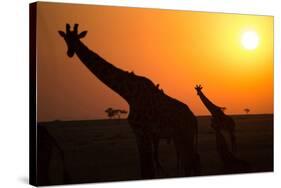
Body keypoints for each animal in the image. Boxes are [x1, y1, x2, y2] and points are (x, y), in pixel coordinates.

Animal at [58, 23, 199, 178]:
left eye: (77, 39)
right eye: (65, 39)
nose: (70, 52)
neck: (129, 95)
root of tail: (194, 119)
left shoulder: (144, 132)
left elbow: (148, 171)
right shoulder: (138, 134)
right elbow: (145, 170)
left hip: (185, 135)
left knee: (191, 162)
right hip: (179, 137)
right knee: (190, 163)